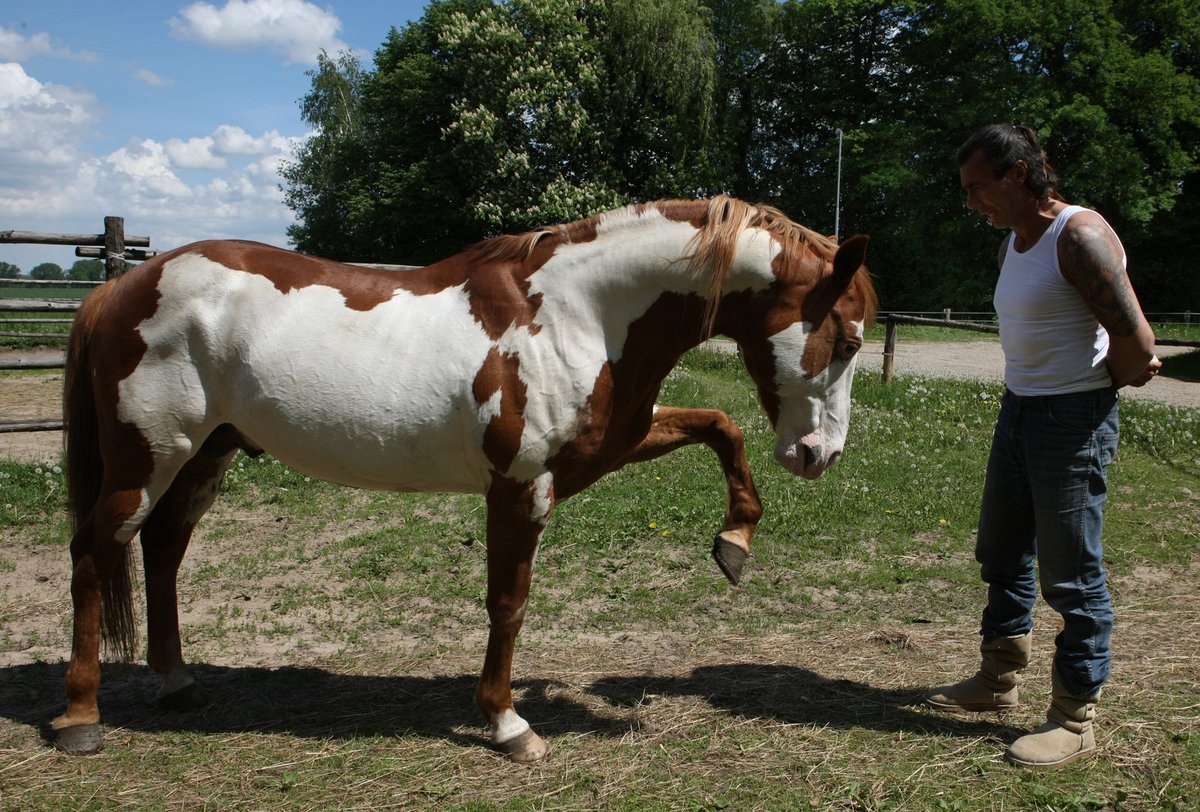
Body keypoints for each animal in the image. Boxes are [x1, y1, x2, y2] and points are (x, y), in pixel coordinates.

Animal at [51, 194, 878, 758]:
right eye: (846, 340)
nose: (820, 456)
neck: (577, 313)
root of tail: (120, 286)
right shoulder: (522, 486)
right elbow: (508, 604)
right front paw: (508, 723)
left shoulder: (611, 445)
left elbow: (721, 426)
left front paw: (734, 541)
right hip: (145, 460)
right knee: (93, 556)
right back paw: (82, 718)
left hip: (206, 454)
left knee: (161, 550)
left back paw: (176, 683)